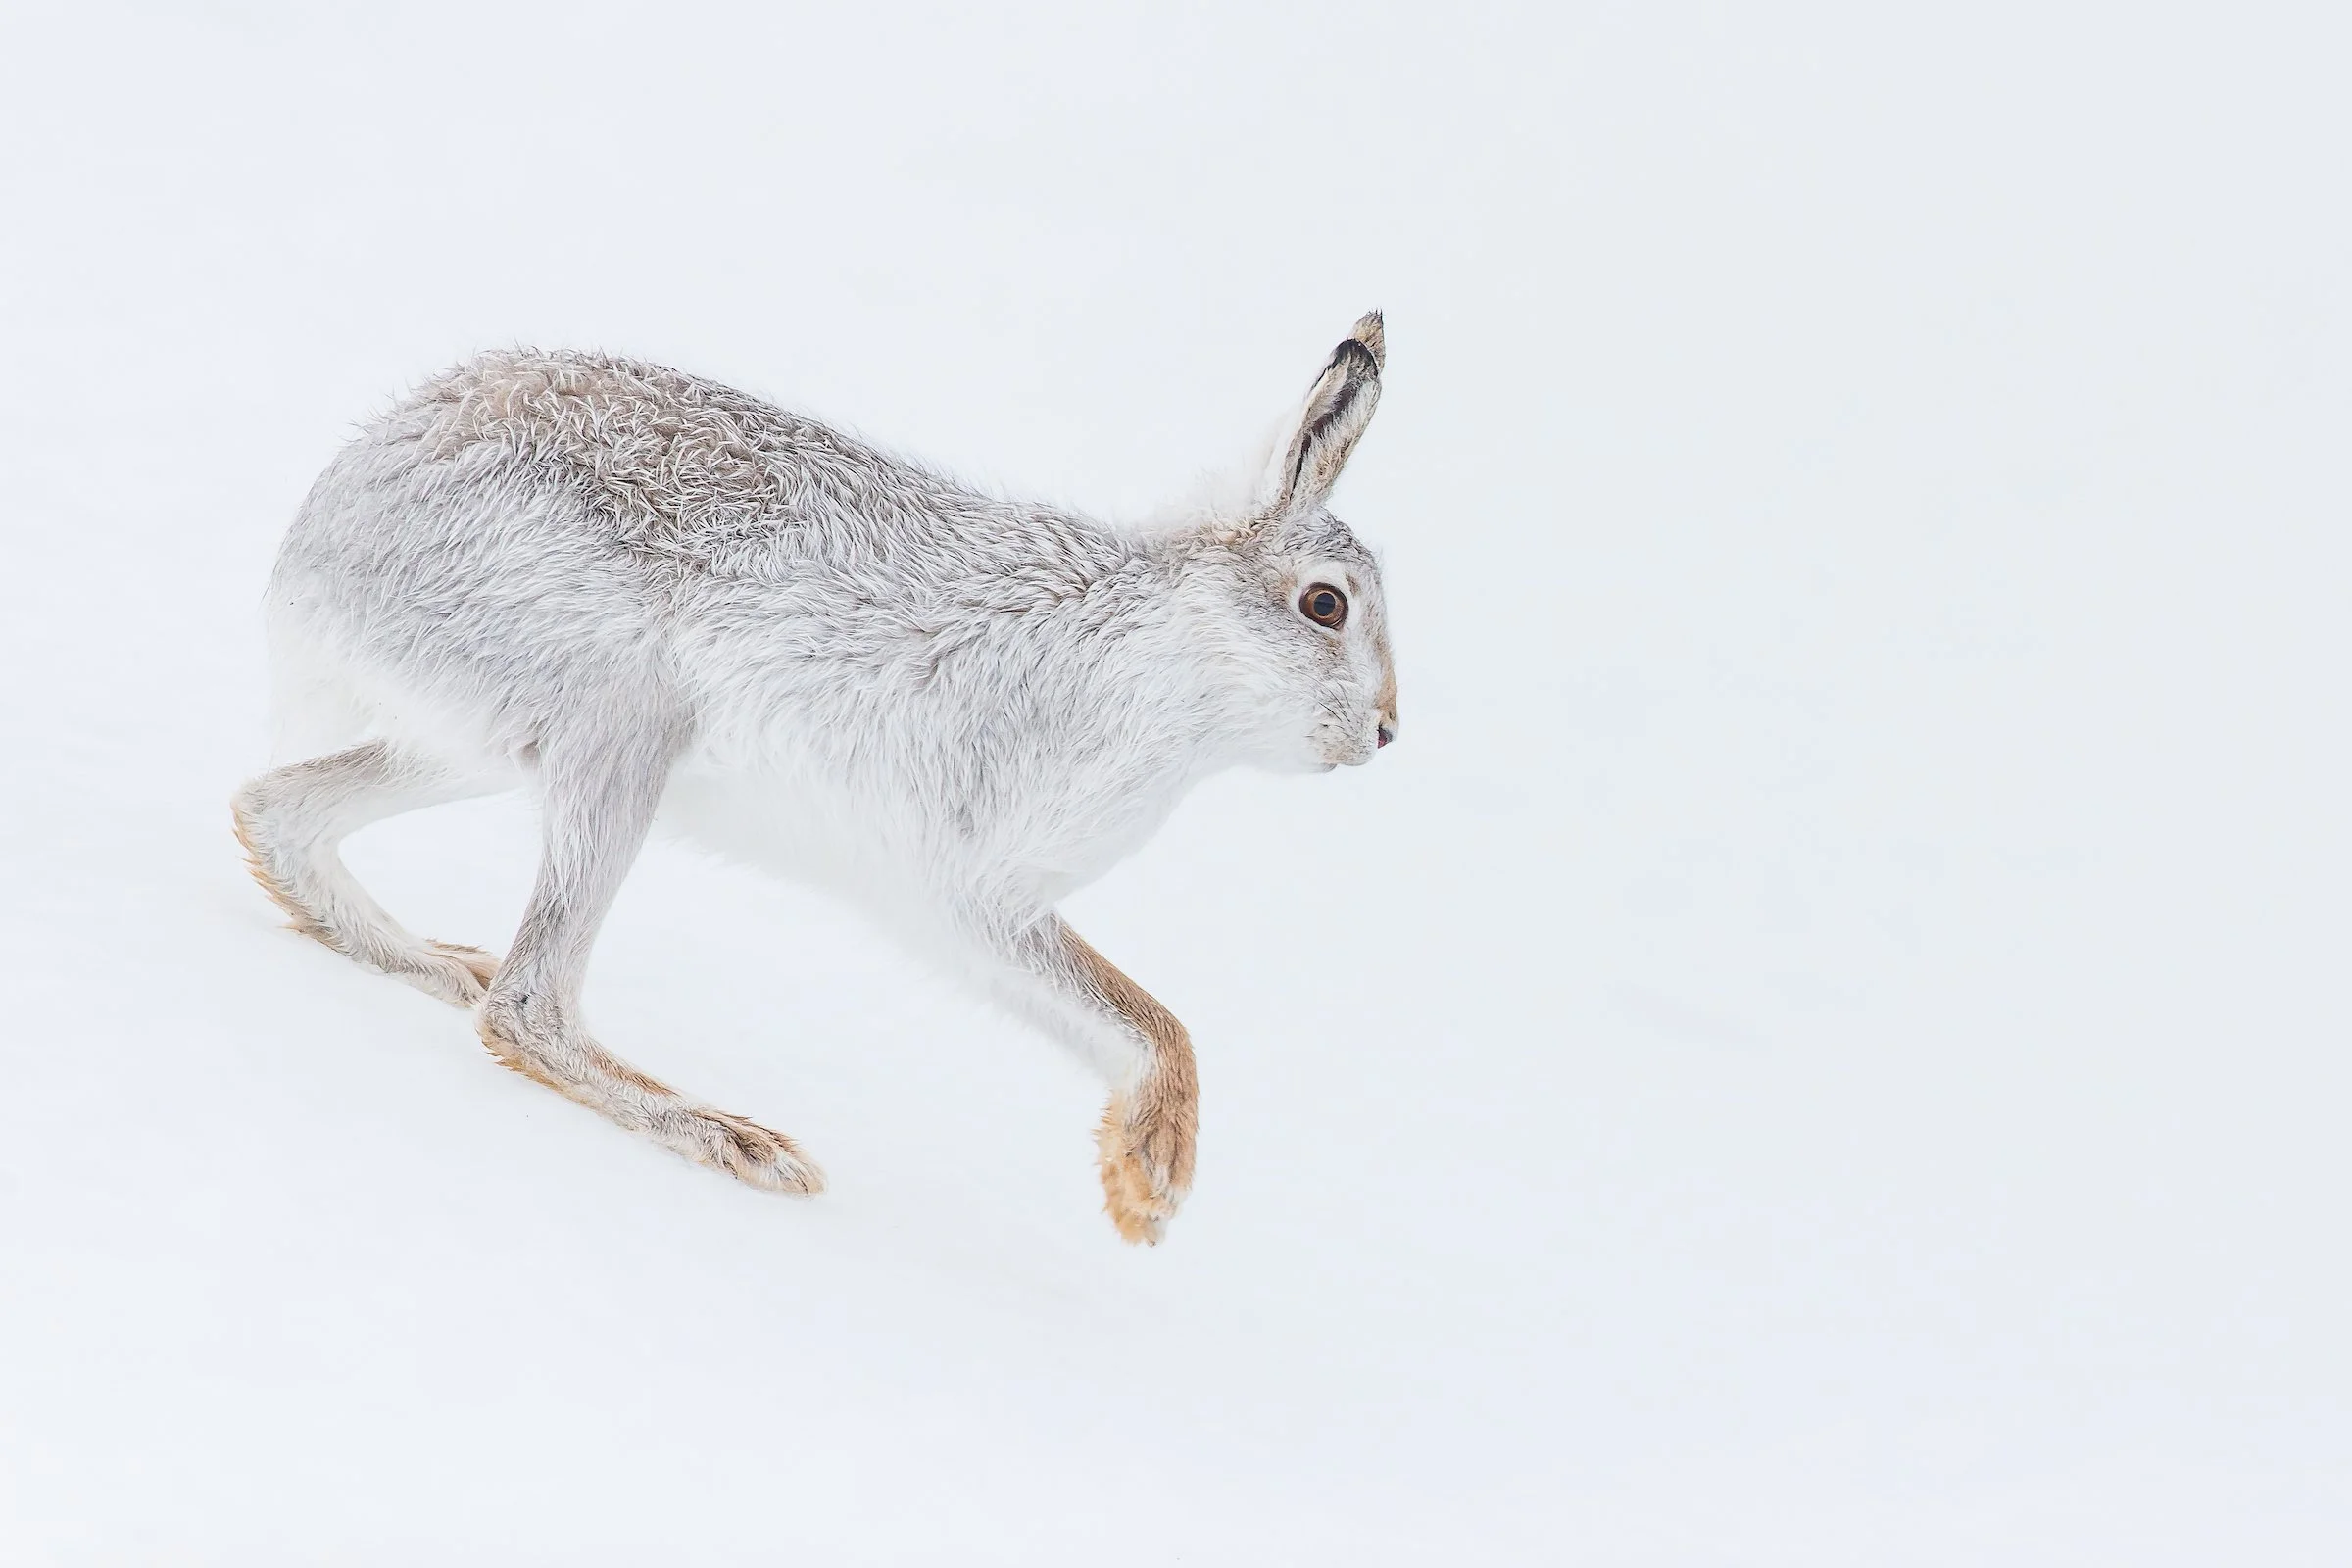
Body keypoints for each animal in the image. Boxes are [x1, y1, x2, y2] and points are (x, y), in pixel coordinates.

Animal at [231, 312, 1399, 1244]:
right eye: (1325, 605)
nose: (1387, 732)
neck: (1170, 654)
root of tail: (323, 539)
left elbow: (1127, 1016)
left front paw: (1137, 1174)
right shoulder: (970, 891)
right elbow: (1148, 1015)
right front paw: (1150, 1185)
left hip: (483, 746)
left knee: (276, 810)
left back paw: (431, 960)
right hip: (617, 730)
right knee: (525, 1007)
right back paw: (738, 1141)